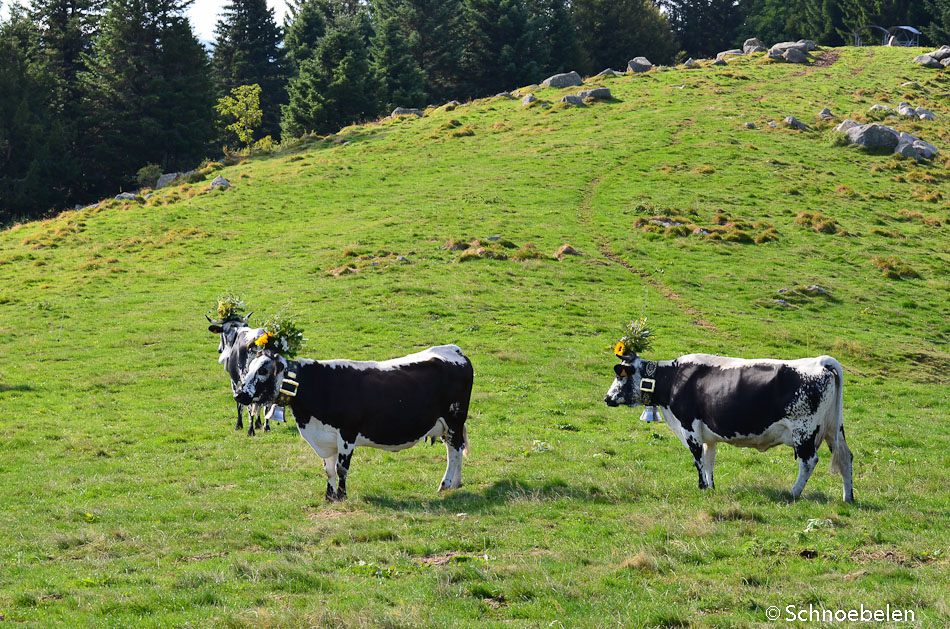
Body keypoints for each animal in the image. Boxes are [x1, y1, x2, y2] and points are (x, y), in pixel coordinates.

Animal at [236, 344, 474, 500]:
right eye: (247, 368)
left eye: (263, 370)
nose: (239, 394)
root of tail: (453, 350)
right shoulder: (326, 437)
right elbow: (329, 470)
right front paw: (329, 496)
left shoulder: (346, 434)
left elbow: (341, 469)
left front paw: (342, 496)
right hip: (447, 425)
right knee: (457, 448)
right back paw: (456, 483)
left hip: (454, 418)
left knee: (453, 452)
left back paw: (445, 485)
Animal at [608, 354, 860, 500]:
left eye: (620, 377)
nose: (606, 398)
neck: (674, 378)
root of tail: (820, 360)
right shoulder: (708, 435)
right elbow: (709, 460)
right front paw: (711, 487)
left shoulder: (689, 428)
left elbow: (698, 459)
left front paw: (702, 487)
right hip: (833, 428)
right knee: (846, 457)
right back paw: (848, 497)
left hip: (805, 431)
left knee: (808, 462)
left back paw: (793, 493)